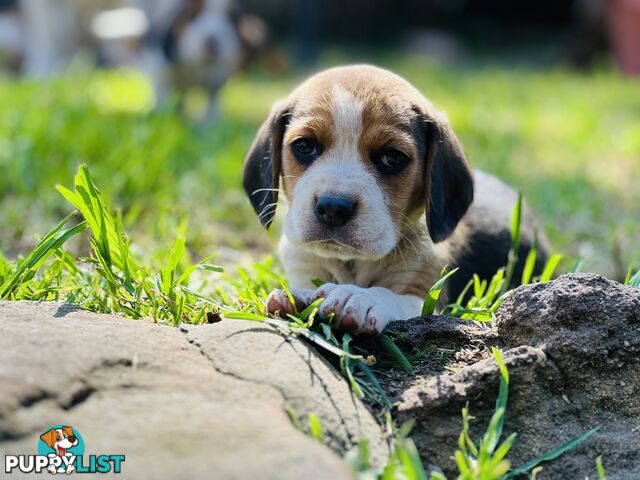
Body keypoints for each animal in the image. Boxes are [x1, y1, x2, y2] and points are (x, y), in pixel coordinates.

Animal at [242, 64, 548, 334]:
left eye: (393, 158)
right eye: (304, 146)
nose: (333, 207)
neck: (352, 262)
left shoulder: (425, 297)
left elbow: (390, 295)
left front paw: (360, 297)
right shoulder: (304, 266)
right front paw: (299, 296)